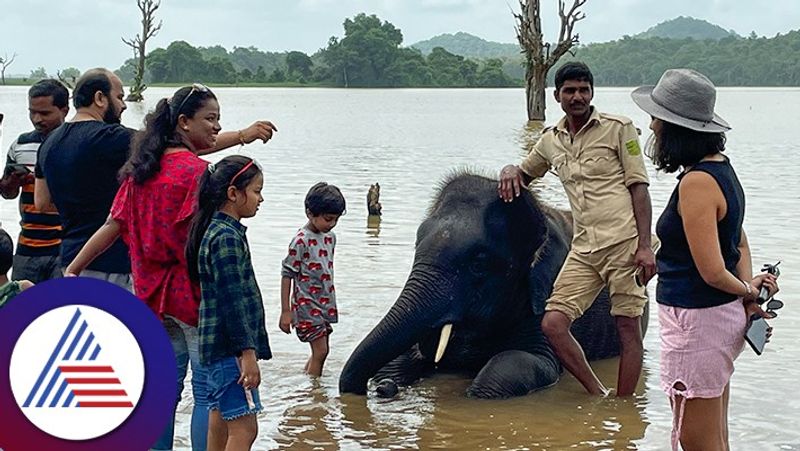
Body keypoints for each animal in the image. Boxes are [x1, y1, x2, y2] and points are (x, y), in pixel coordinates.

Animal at [340, 172, 648, 400]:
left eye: (478, 264)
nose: (380, 392)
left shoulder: (549, 289)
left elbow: (518, 365)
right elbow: (400, 356)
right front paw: (388, 382)